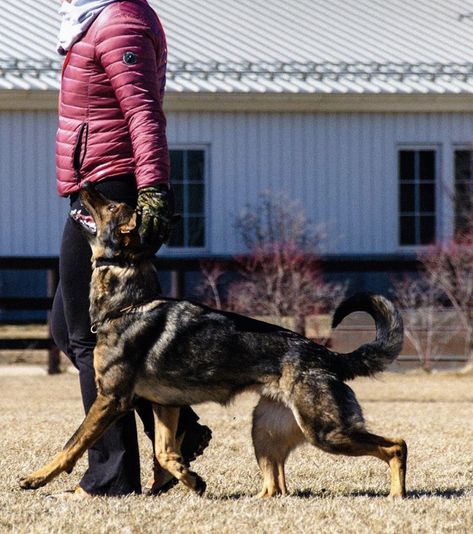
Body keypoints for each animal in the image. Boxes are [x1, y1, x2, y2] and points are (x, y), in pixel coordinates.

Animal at [19, 183, 406, 498]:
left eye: (113, 206)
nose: (84, 184)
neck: (129, 303)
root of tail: (326, 355)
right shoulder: (164, 404)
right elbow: (165, 451)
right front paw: (190, 478)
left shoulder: (111, 400)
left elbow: (72, 444)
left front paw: (37, 478)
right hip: (266, 430)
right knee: (276, 485)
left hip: (326, 431)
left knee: (396, 445)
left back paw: (396, 494)